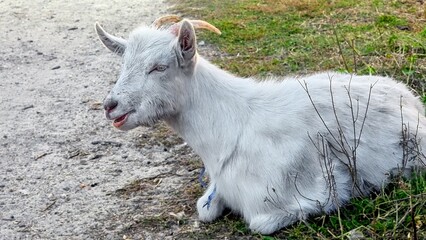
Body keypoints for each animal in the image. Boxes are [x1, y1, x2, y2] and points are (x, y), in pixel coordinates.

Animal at [95, 15, 426, 233]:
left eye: (159, 67)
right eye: (124, 64)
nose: (110, 106)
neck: (230, 122)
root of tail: (411, 100)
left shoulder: (298, 193)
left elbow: (260, 223)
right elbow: (205, 209)